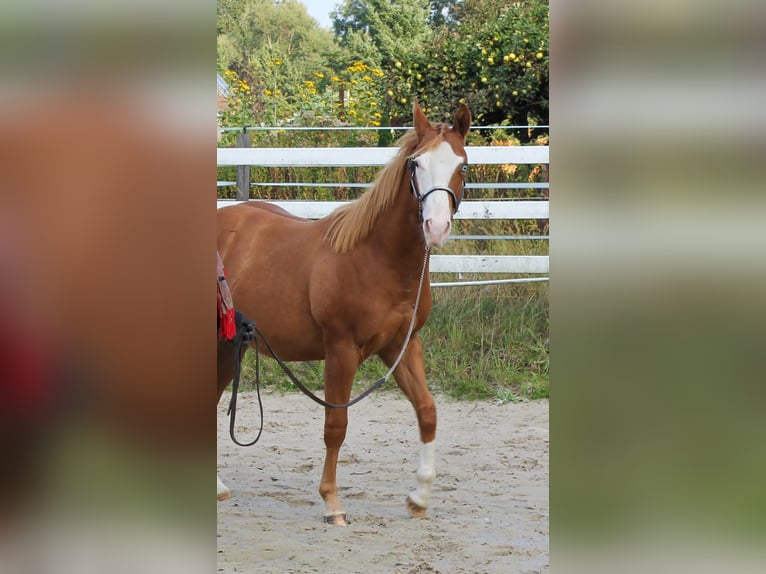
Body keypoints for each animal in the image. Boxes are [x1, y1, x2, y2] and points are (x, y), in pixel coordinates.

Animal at [217, 100, 471, 525]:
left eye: (462, 165)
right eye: (415, 164)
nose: (436, 227)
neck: (376, 258)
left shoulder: (402, 346)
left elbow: (427, 411)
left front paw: (419, 497)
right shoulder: (341, 350)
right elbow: (336, 425)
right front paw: (332, 502)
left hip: (226, 346)